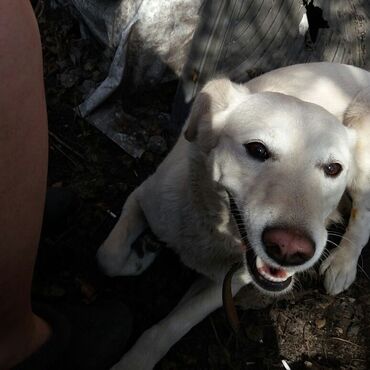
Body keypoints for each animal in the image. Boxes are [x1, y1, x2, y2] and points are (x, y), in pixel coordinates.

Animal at [96, 62, 370, 368]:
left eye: (333, 168)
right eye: (257, 149)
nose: (290, 249)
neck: (215, 228)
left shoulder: (232, 280)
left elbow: (172, 326)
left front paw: (136, 361)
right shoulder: (143, 198)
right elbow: (108, 257)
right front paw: (139, 258)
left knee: (363, 214)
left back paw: (343, 264)